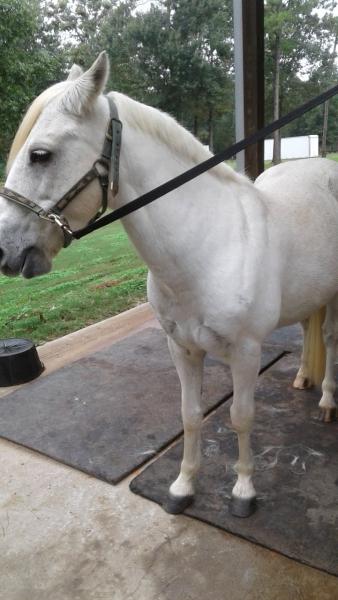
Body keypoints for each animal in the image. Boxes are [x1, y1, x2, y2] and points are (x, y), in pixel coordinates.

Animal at [0, 54, 338, 516]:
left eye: (40, 154)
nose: (5, 250)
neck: (209, 245)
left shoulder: (246, 353)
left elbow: (241, 417)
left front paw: (243, 492)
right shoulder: (182, 347)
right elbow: (190, 415)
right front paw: (183, 487)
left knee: (329, 337)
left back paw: (326, 401)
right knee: (308, 329)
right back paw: (304, 377)